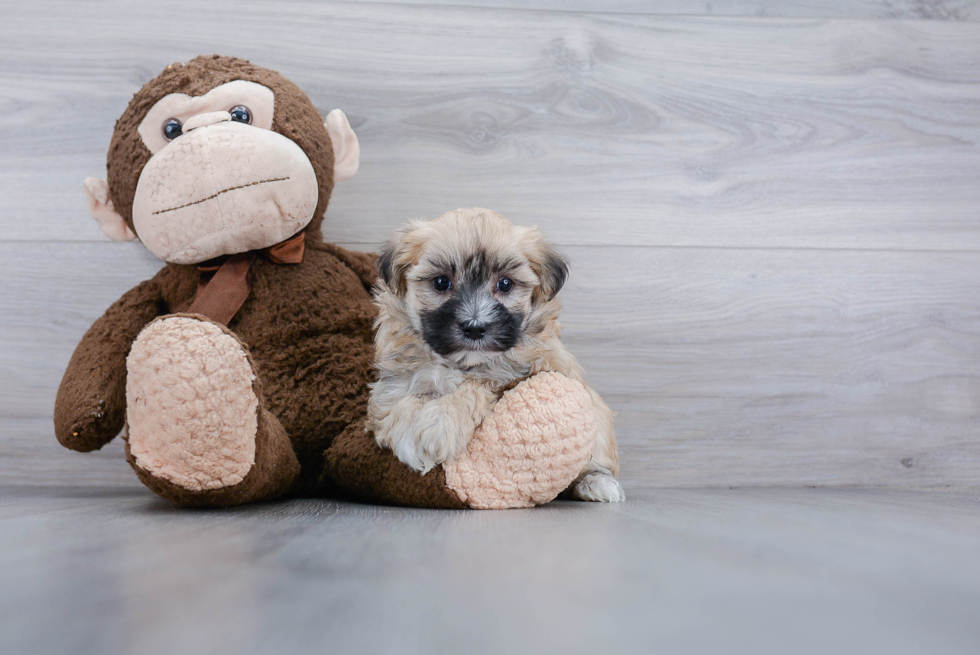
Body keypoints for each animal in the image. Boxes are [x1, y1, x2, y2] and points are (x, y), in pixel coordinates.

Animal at [368, 208, 628, 504]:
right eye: (441, 282)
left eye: (505, 284)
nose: (474, 327)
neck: (460, 363)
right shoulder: (397, 380)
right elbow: (398, 402)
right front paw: (410, 437)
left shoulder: (519, 373)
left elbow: (476, 386)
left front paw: (439, 425)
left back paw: (597, 482)